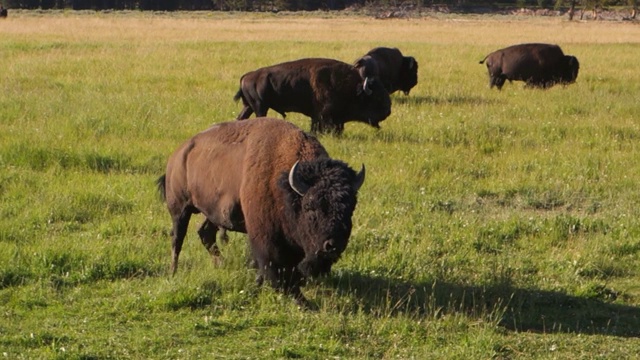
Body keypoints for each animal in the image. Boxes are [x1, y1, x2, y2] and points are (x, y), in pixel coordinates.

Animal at [156, 118, 364, 306]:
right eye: (310, 207)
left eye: (351, 208)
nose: (333, 245)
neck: (284, 186)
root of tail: (178, 154)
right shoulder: (266, 239)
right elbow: (274, 267)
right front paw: (300, 300)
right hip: (180, 210)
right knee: (177, 240)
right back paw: (173, 272)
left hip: (212, 213)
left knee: (205, 233)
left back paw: (221, 264)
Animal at [231, 58, 390, 134]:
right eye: (377, 98)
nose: (388, 112)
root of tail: (247, 76)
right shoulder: (323, 115)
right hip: (260, 106)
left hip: (249, 106)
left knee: (241, 118)